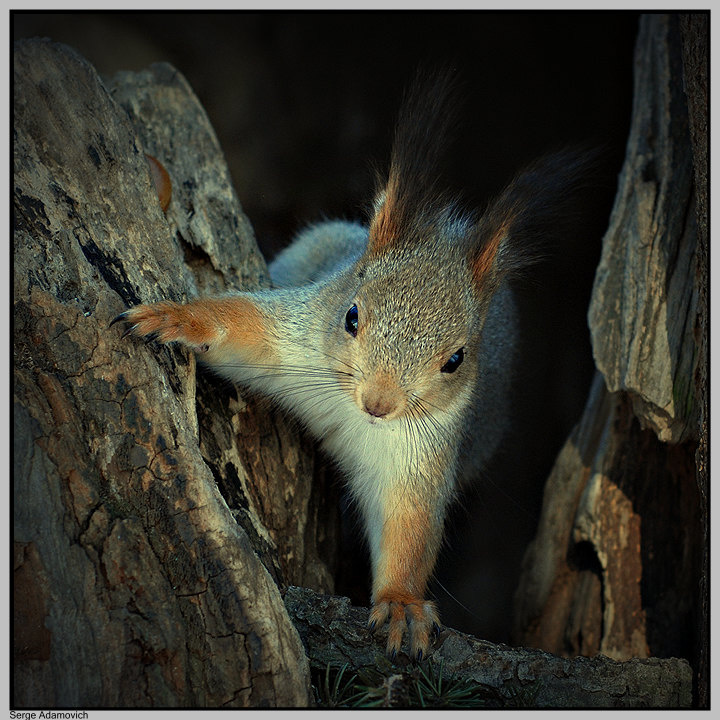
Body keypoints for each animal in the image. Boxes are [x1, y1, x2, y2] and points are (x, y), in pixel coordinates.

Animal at [113, 71, 598, 660]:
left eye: (456, 360)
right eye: (351, 316)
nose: (380, 404)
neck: (350, 413)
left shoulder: (422, 457)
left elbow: (409, 530)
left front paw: (403, 606)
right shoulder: (296, 340)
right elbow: (241, 329)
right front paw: (177, 317)